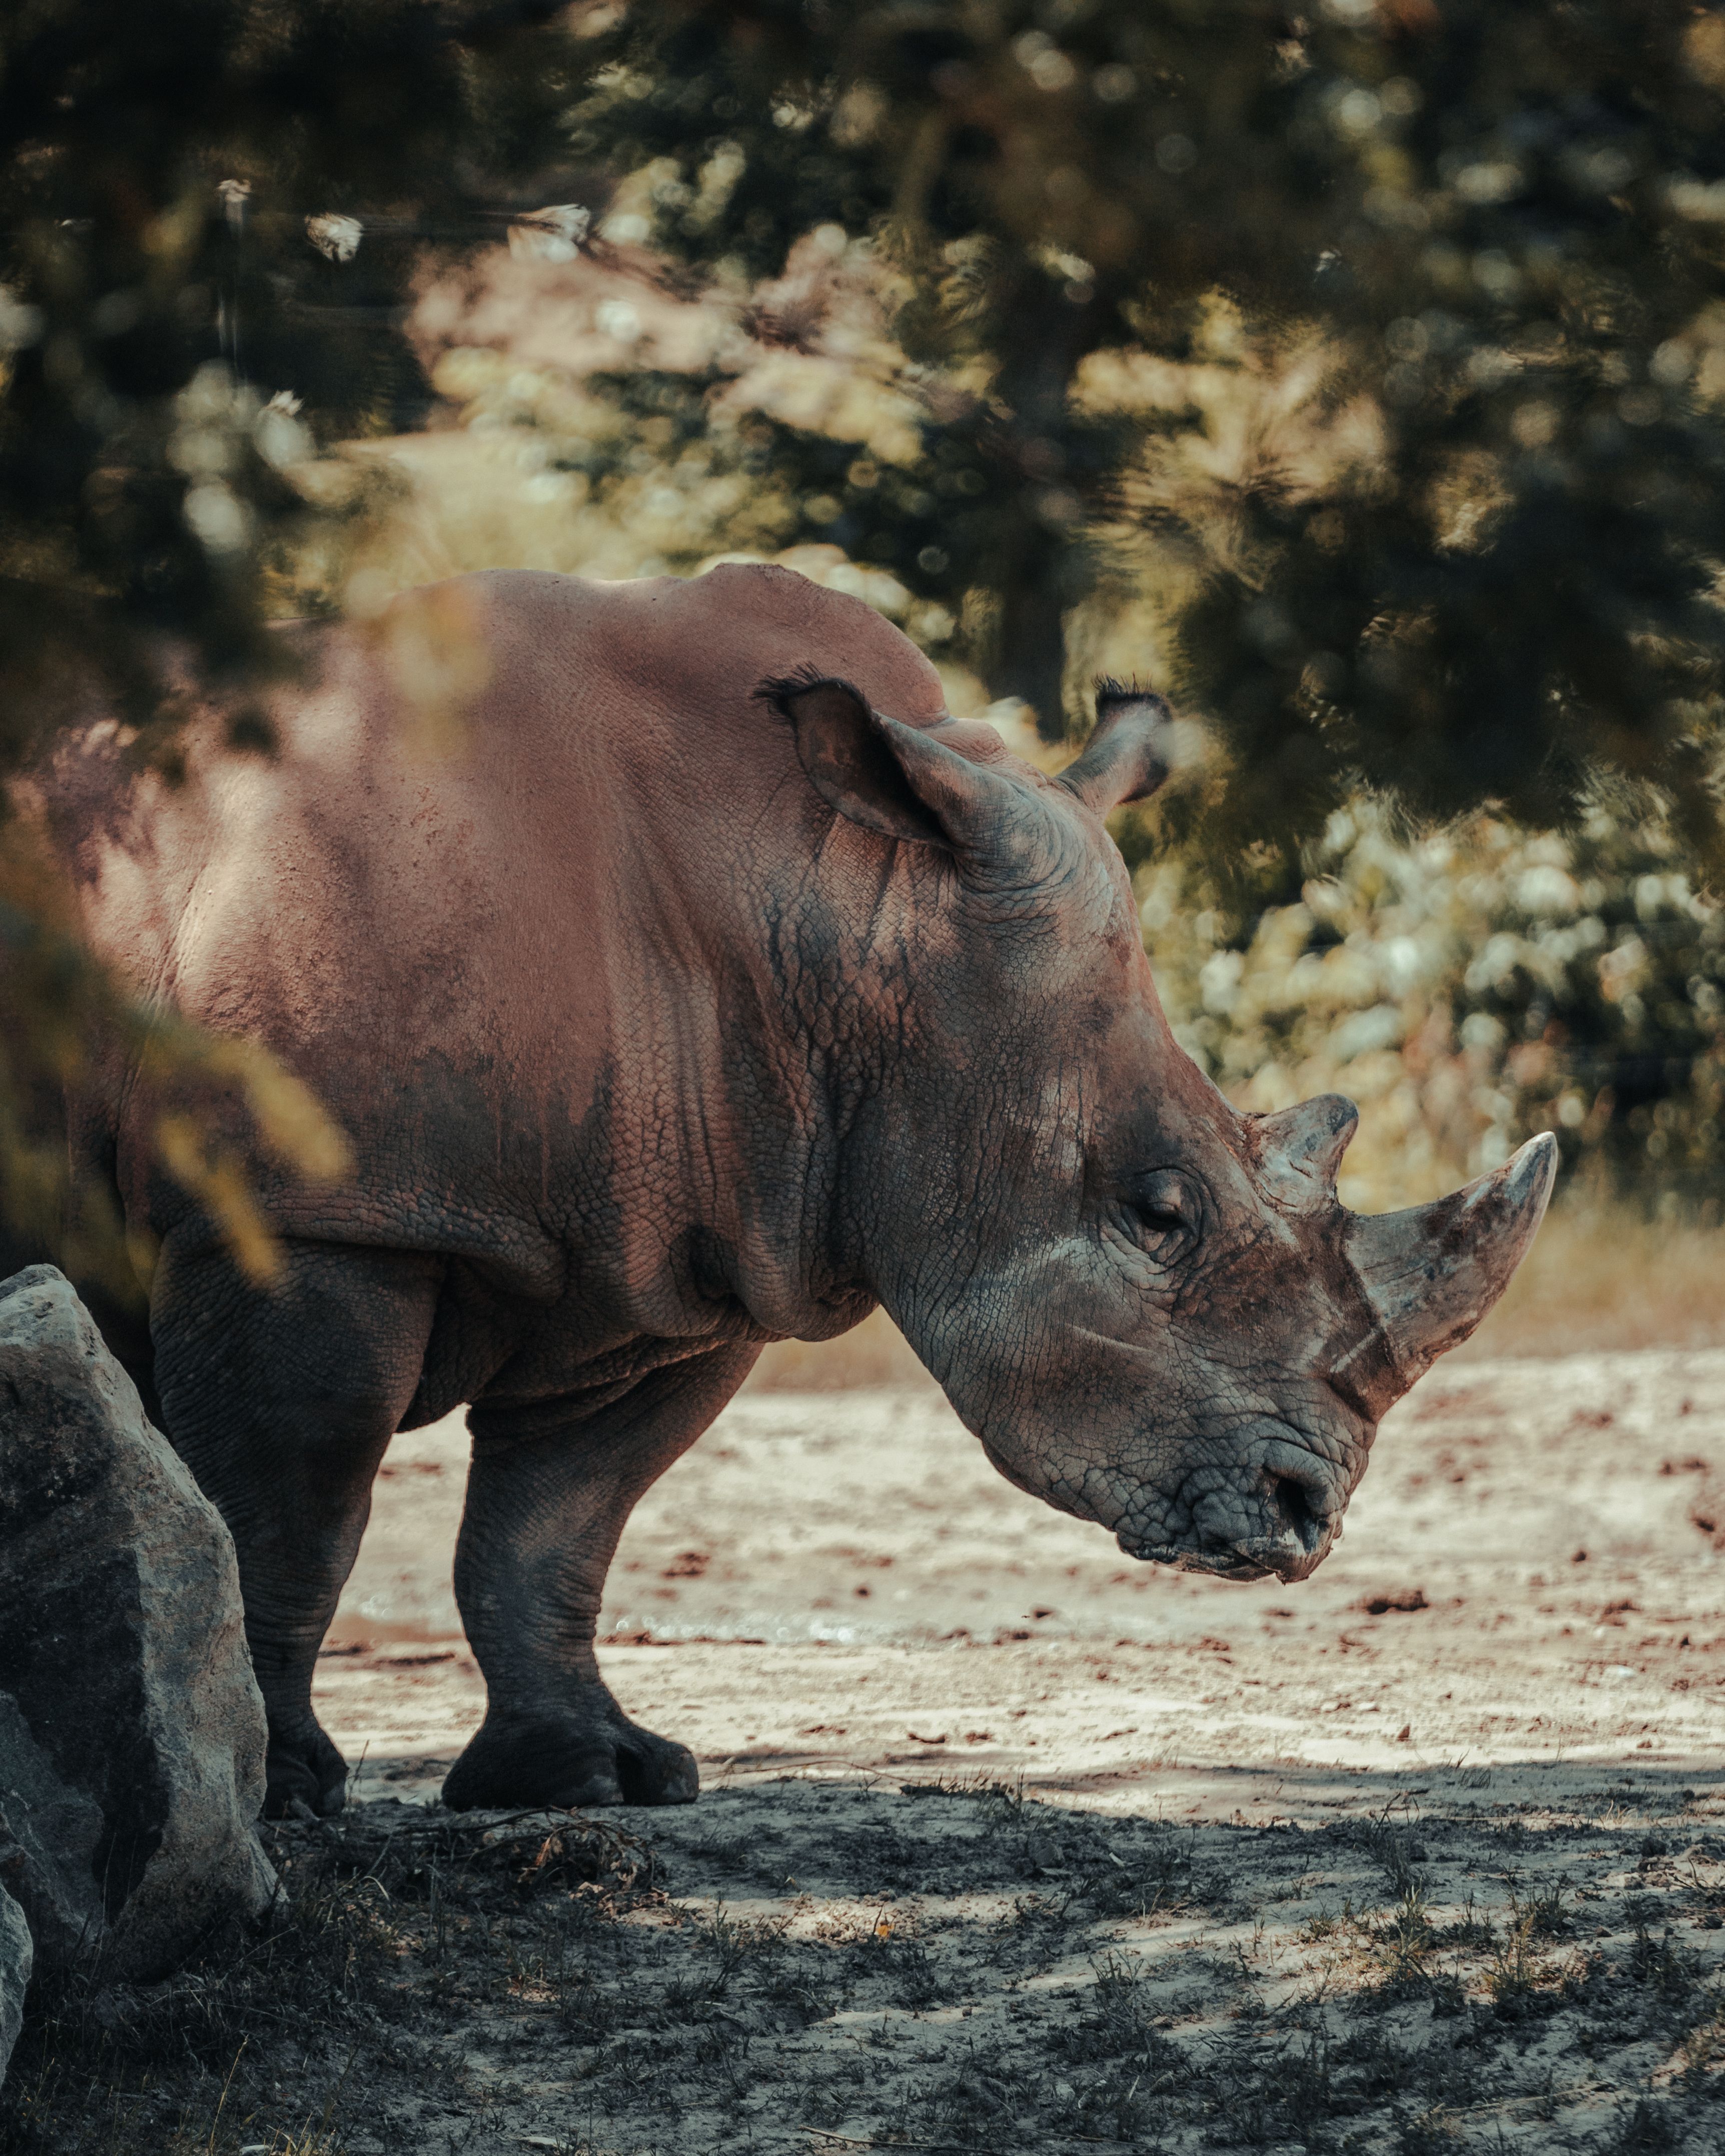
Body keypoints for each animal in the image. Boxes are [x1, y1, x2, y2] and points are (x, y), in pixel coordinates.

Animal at [19, 565, 1554, 1817]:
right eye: (1157, 1211)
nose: (1306, 1512)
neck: (831, 898)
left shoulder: (682, 1256)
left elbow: (555, 1524)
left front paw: (597, 1778)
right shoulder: (311, 1213)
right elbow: (294, 1499)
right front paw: (281, 1788)